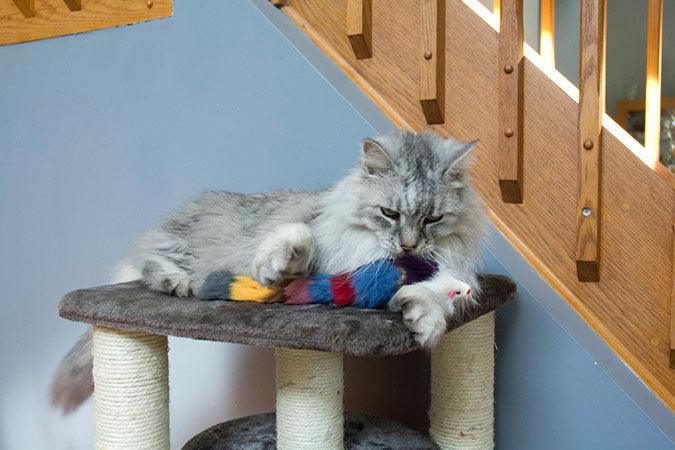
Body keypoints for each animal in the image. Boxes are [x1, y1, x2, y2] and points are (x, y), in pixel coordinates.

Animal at [52, 128, 486, 414]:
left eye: (432, 219)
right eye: (389, 214)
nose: (409, 245)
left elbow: (429, 299)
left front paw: (425, 323)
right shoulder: (314, 237)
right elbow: (295, 238)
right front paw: (275, 265)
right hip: (182, 248)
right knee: (148, 266)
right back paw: (180, 284)